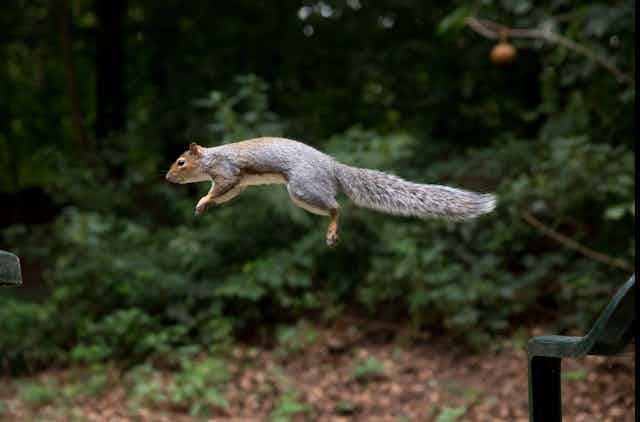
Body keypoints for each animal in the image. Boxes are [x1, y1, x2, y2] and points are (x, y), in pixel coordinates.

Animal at [166, 138, 497, 247]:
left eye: (181, 162)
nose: (167, 177)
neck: (210, 158)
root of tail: (332, 166)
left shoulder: (227, 170)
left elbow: (221, 185)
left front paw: (204, 199)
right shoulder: (237, 183)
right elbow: (225, 194)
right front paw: (203, 204)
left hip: (302, 189)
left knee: (337, 208)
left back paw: (332, 230)